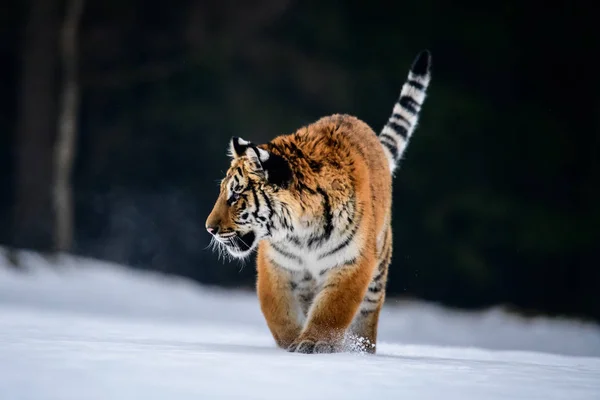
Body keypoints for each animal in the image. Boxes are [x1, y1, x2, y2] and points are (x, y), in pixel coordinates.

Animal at [206, 49, 432, 354]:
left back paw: (363, 351)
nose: (209, 228)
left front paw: (314, 343)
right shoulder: (277, 266)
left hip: (378, 271)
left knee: (366, 318)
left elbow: (332, 311)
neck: (301, 232)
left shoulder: (352, 263)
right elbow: (279, 313)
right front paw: (291, 344)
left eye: (235, 195)